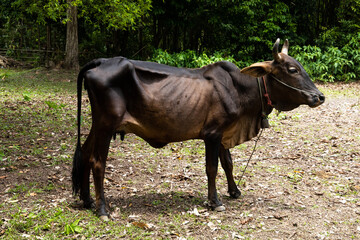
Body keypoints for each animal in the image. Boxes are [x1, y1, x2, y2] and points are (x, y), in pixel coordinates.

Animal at [71, 38, 324, 219]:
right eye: (292, 69)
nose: (319, 96)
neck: (240, 89)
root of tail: (100, 61)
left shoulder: (225, 133)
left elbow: (228, 164)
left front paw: (234, 191)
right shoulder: (212, 134)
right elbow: (212, 168)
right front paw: (215, 202)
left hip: (98, 125)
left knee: (85, 154)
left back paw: (87, 200)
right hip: (106, 125)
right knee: (98, 162)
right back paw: (102, 209)